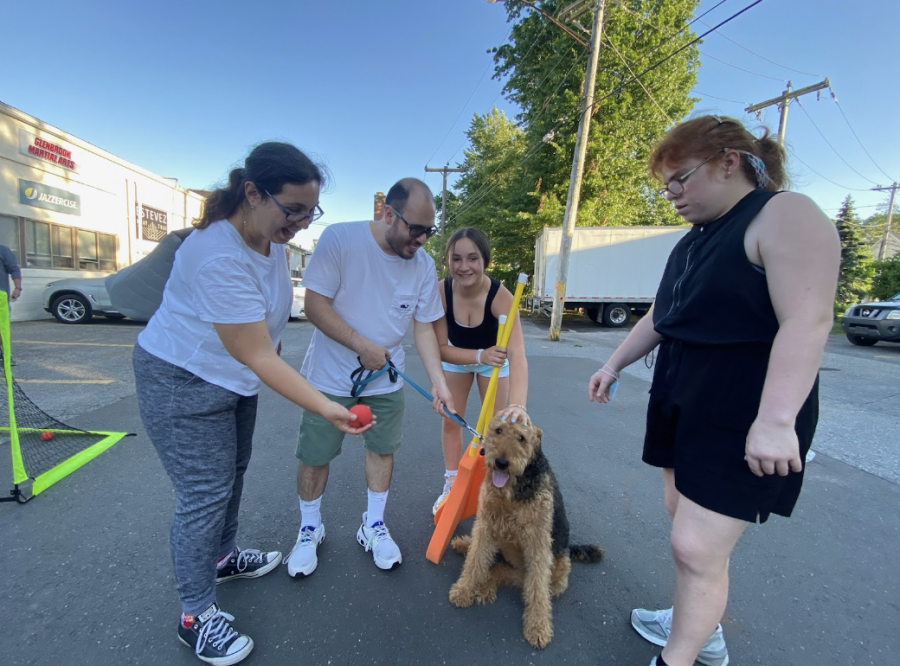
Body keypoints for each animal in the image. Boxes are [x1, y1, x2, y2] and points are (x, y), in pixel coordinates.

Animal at [446, 412, 600, 644]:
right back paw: (465, 548)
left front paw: (538, 628)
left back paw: (486, 587)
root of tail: (569, 549)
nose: (501, 463)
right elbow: (475, 560)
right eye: (498, 430)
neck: (511, 490)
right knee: (496, 563)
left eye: (522, 438)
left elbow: (537, 589)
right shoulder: (486, 522)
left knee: (512, 575)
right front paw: (463, 590)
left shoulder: (538, 542)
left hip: (550, 573)